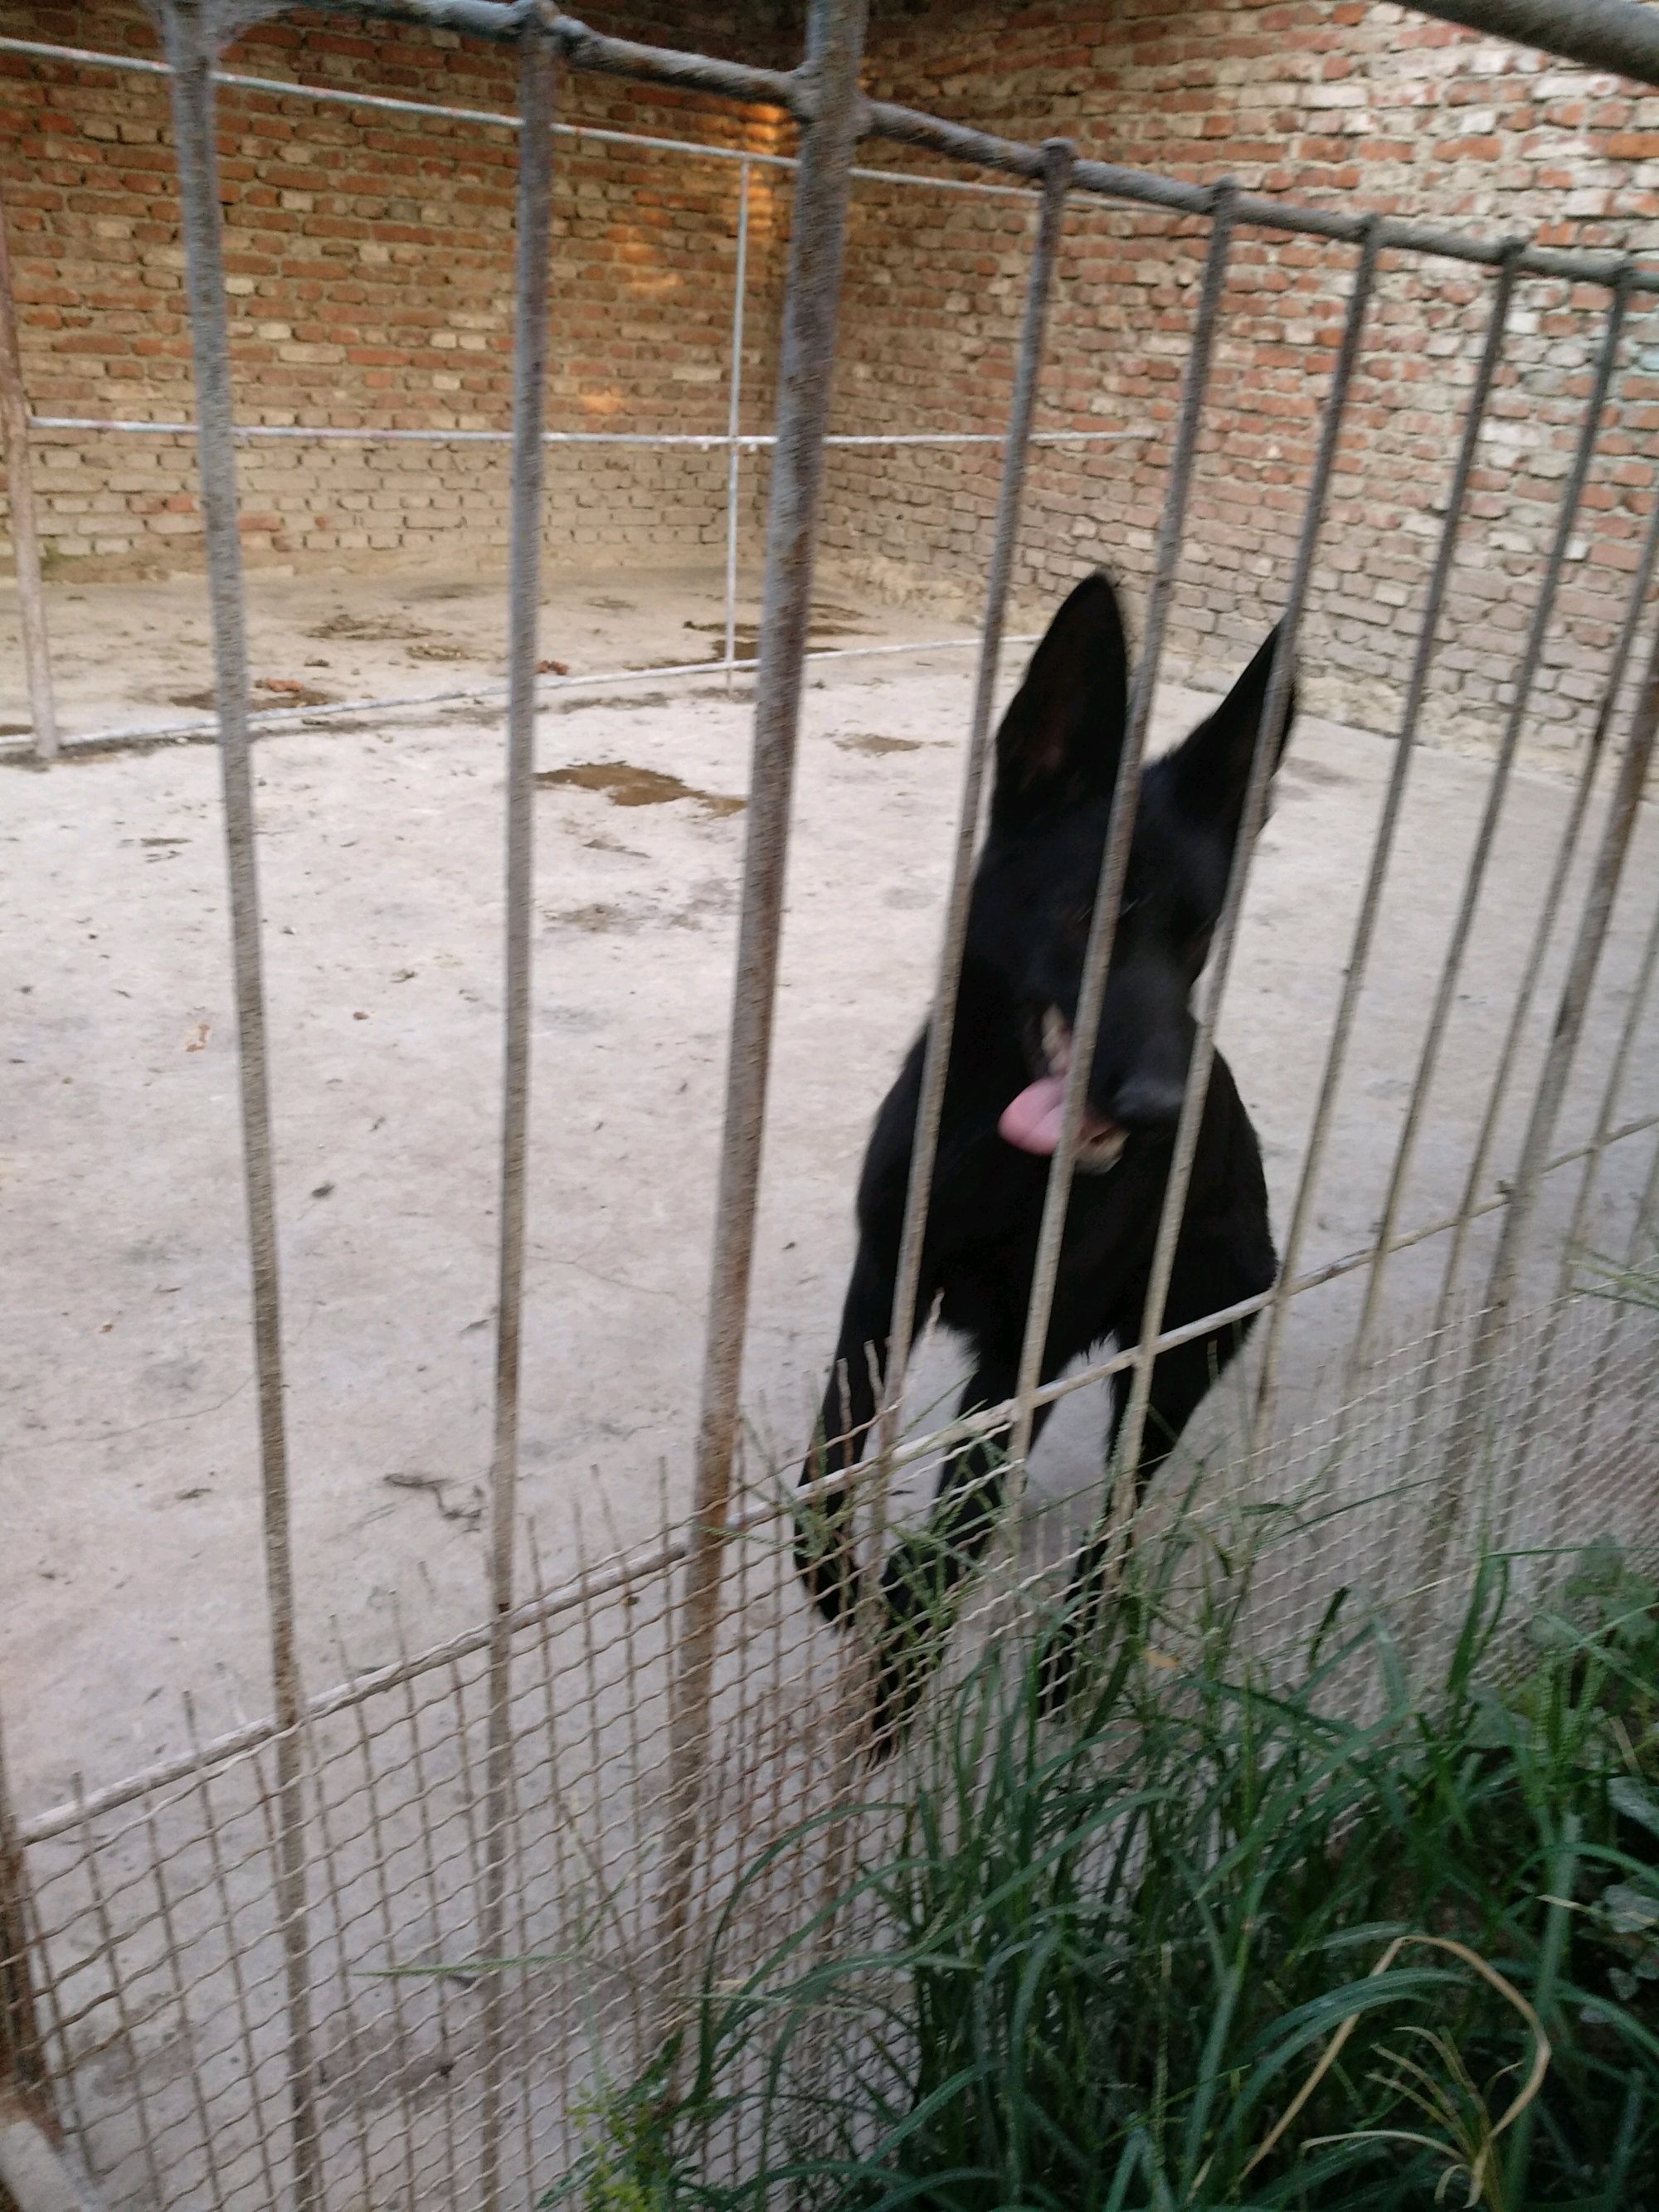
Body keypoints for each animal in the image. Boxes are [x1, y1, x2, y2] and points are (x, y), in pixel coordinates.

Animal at [794, 570, 1293, 1754]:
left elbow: (952, 1531)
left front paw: (894, 1686)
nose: (1158, 1107)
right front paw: (841, 1588)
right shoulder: (880, 1284)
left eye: (1197, 933)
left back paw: (1068, 1666)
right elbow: (825, 1469)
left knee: (1114, 1522)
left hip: (1176, 1354)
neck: (986, 1144)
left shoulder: (1028, 1347)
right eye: (1080, 916)